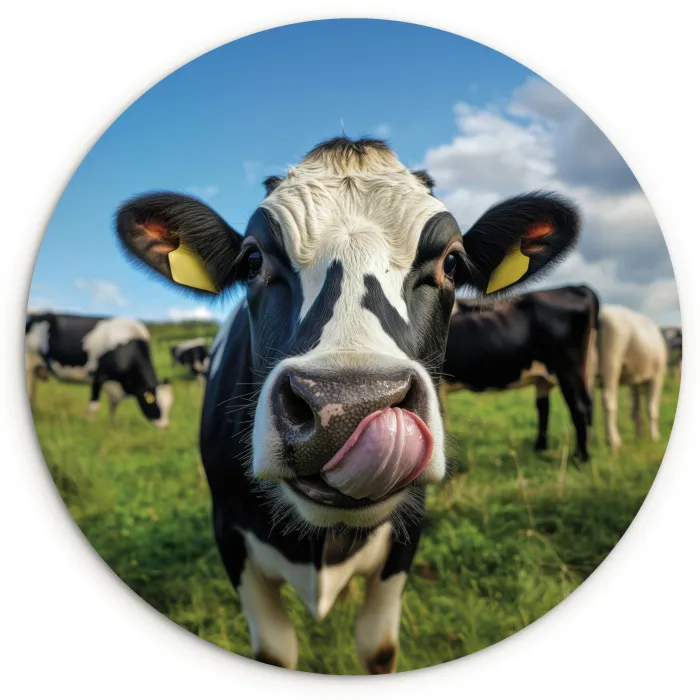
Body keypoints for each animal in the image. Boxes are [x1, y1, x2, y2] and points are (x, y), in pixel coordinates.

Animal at [25, 312, 174, 428]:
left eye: (169, 405)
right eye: (154, 403)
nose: (165, 426)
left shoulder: (115, 385)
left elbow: (113, 407)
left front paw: (111, 426)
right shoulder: (98, 376)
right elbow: (94, 406)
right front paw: (90, 425)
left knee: (33, 389)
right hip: (28, 364)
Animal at [114, 137, 580, 672]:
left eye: (452, 263)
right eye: (253, 260)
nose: (348, 407)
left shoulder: (406, 537)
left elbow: (378, 648)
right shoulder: (230, 537)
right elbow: (275, 650)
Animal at [593, 305, 667, 452]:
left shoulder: (635, 382)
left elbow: (636, 410)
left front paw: (639, 438)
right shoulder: (657, 376)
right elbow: (652, 408)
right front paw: (654, 438)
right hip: (611, 361)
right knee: (608, 399)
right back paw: (614, 442)